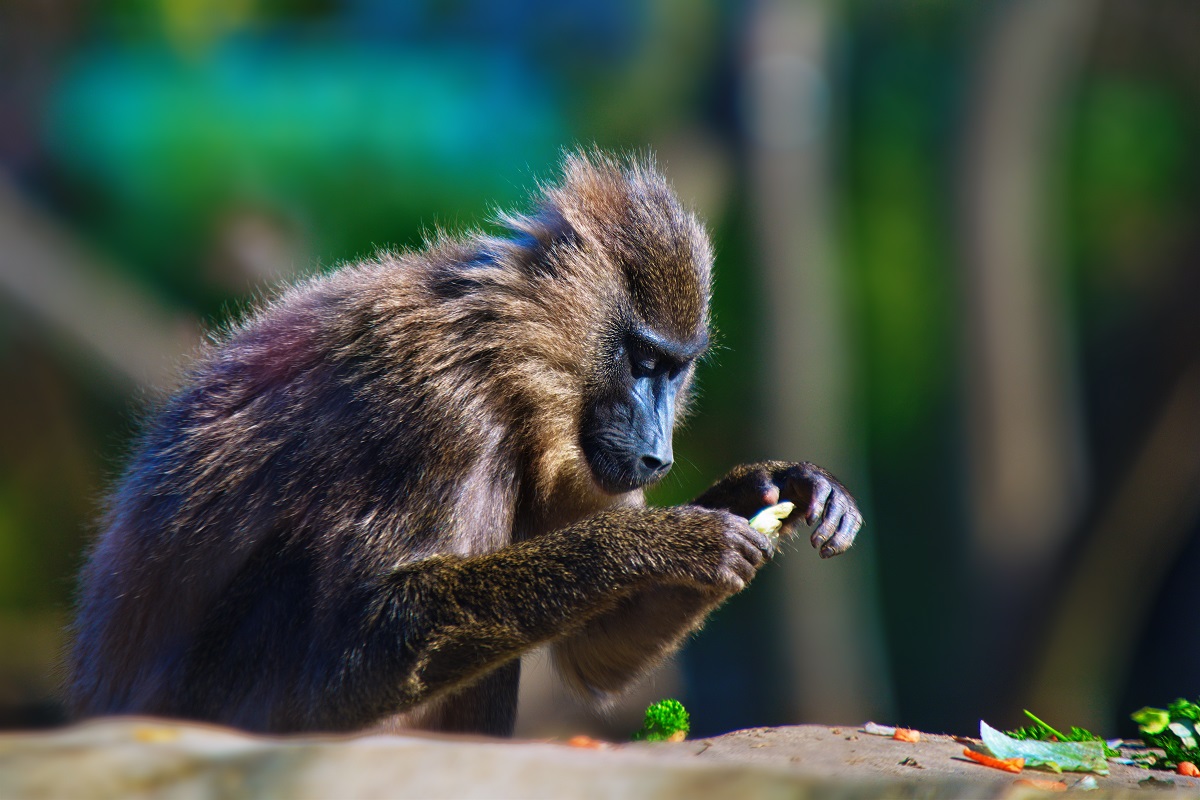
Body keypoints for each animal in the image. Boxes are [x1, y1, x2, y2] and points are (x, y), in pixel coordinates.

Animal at [70, 151, 864, 738]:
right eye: (641, 363)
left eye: (676, 370)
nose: (658, 455)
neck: (503, 355)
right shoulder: (436, 412)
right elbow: (355, 649)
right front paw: (672, 541)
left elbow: (594, 652)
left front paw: (775, 488)